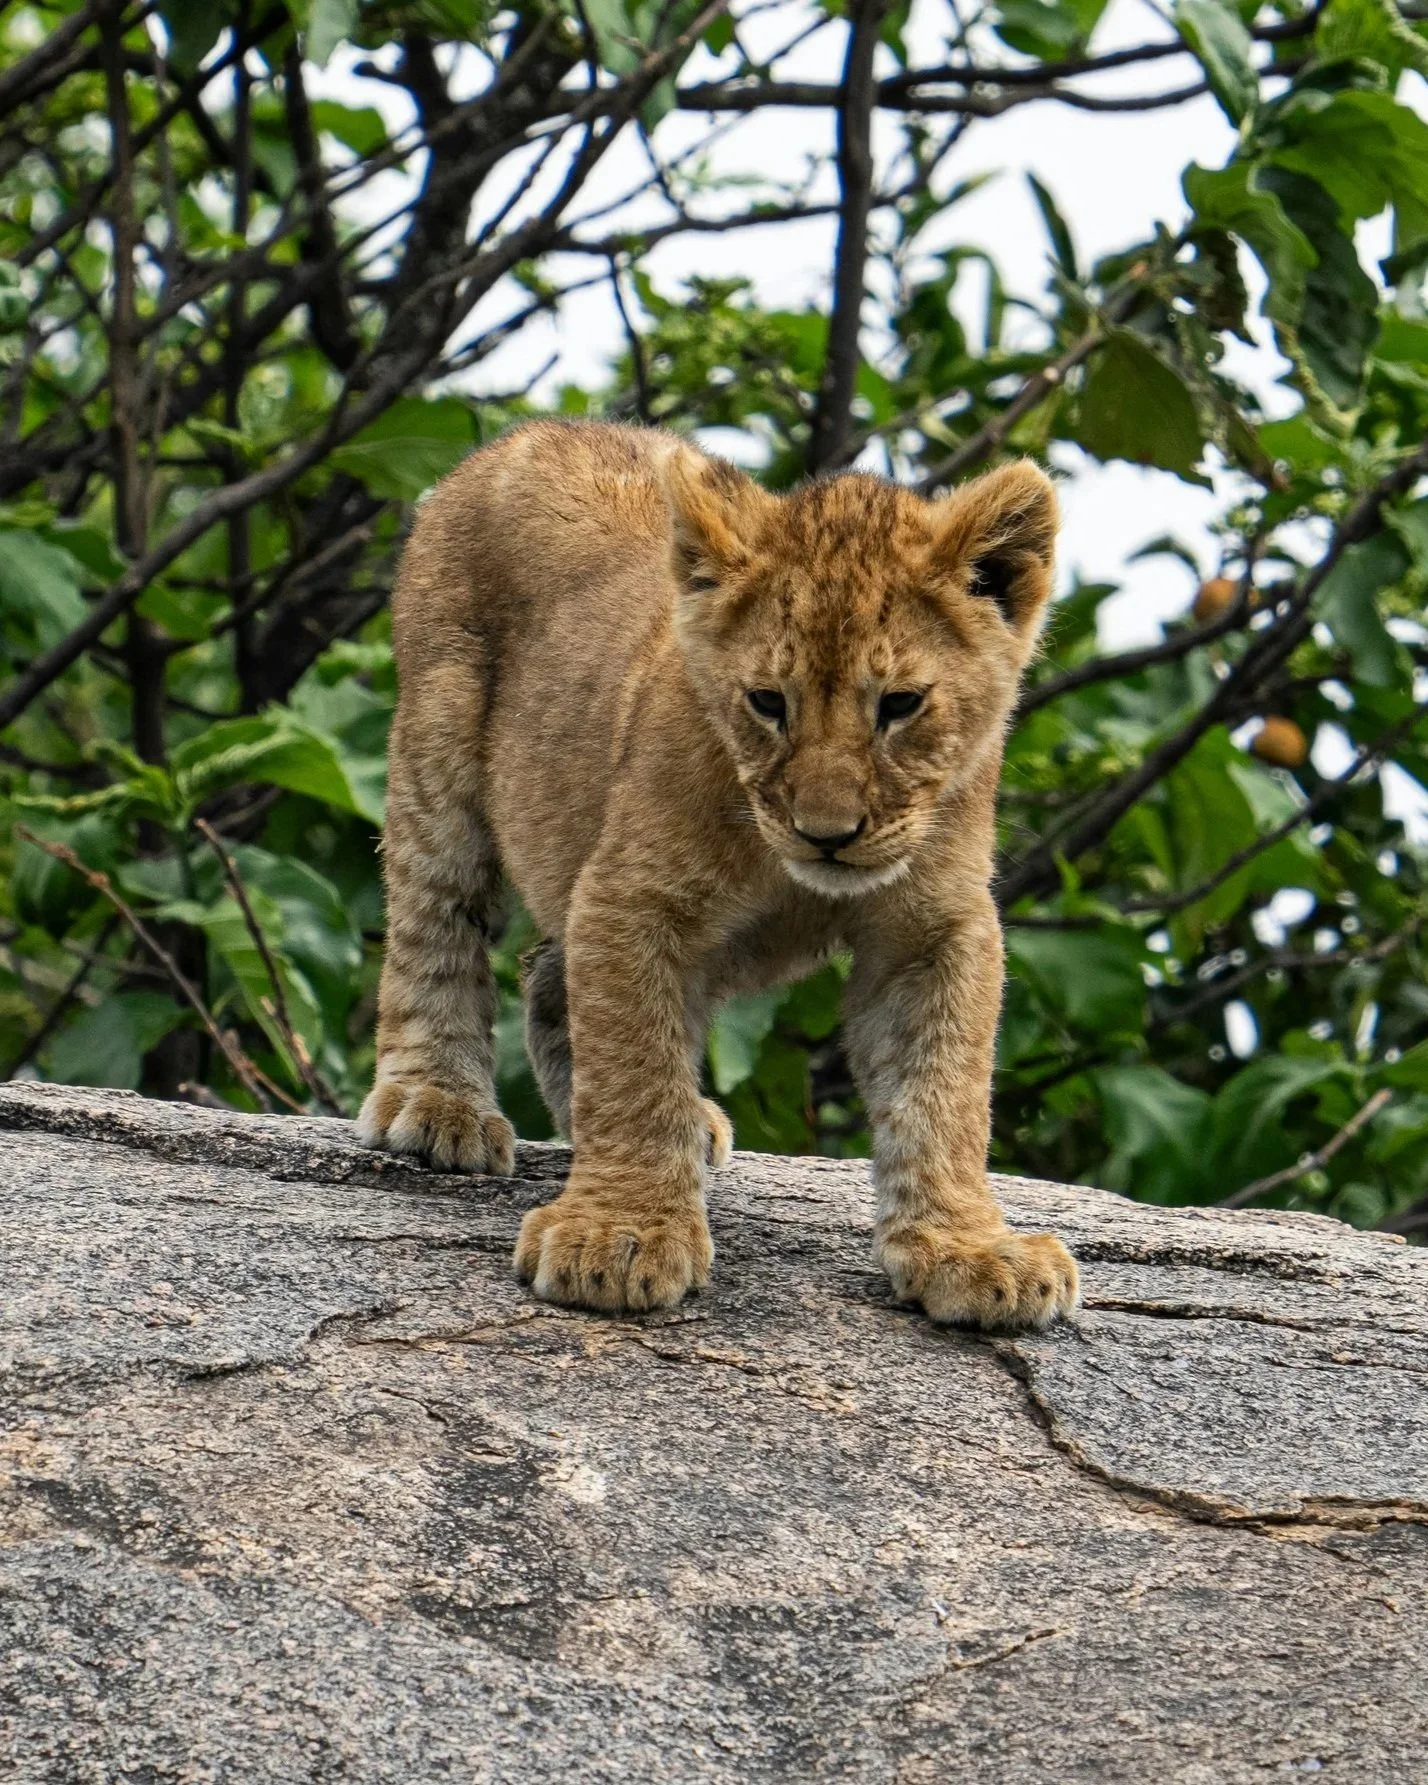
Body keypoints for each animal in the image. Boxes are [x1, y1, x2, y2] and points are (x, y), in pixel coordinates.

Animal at [357, 419, 1078, 1330]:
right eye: (768, 701)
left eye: (901, 704)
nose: (827, 835)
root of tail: (527, 431)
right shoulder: (632, 896)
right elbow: (634, 1064)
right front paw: (619, 1233)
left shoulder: (935, 928)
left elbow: (942, 1087)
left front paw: (969, 1249)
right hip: (439, 747)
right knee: (437, 923)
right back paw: (437, 1103)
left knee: (549, 972)